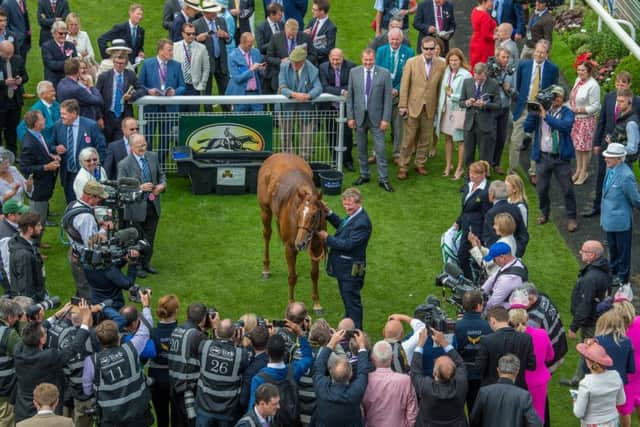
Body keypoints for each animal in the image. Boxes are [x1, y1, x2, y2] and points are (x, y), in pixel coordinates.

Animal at [256, 154, 324, 314]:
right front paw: (291, 305)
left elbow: (314, 274)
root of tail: (277, 154)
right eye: (298, 213)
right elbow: (292, 277)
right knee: (267, 234)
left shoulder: (317, 247)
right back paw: (266, 269)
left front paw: (317, 303)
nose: (300, 243)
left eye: (314, 216)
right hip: (265, 211)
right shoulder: (289, 247)